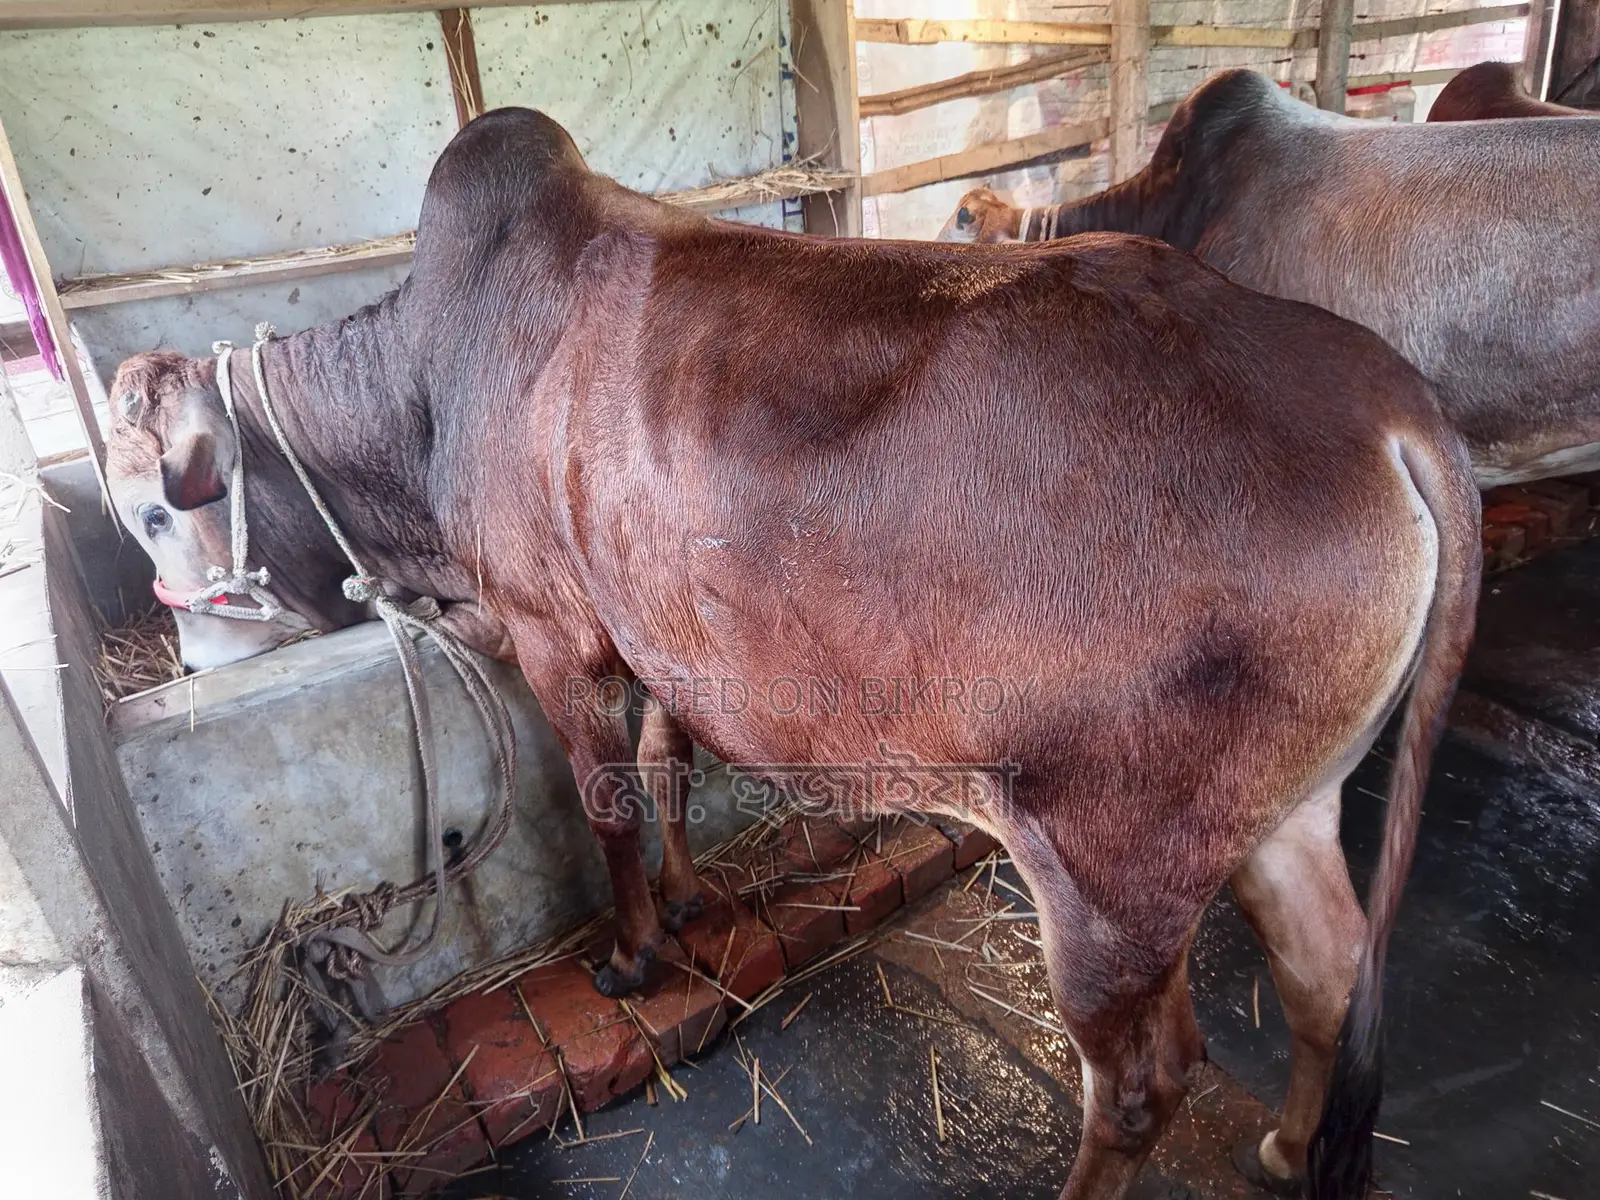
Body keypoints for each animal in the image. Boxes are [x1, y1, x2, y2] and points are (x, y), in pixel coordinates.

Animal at [106, 107, 1481, 1199]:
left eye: (157, 509)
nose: (189, 654)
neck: (430, 386)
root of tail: (1388, 406)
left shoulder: (553, 631)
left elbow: (604, 798)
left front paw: (631, 954)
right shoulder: (658, 627)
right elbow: (663, 764)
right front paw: (690, 899)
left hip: (1108, 865)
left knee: (1146, 1079)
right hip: (1285, 807)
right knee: (1323, 973)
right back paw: (1285, 1145)